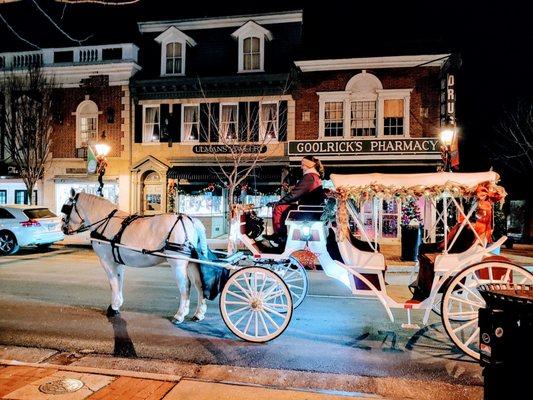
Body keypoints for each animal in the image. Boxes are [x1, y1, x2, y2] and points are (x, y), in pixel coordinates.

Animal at [60, 189, 206, 324]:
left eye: (67, 208)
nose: (63, 228)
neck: (105, 222)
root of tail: (191, 221)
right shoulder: (117, 262)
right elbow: (119, 281)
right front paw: (117, 305)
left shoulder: (107, 261)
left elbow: (113, 282)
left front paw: (113, 307)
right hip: (192, 263)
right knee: (199, 284)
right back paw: (198, 314)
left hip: (178, 263)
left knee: (185, 286)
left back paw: (180, 315)